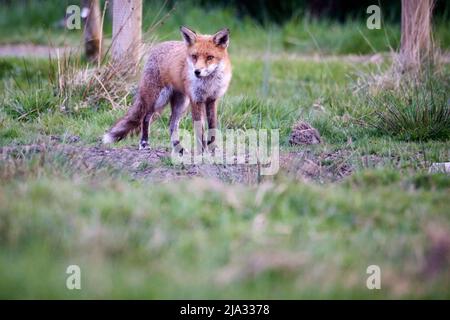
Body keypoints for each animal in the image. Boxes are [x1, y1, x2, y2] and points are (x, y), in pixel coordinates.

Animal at [102, 25, 232, 152]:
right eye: (194, 56)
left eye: (210, 57)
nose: (197, 72)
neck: (208, 83)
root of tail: (158, 46)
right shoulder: (196, 99)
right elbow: (200, 129)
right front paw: (203, 151)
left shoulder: (212, 100)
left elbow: (212, 126)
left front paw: (213, 149)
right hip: (158, 99)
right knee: (145, 118)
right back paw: (144, 143)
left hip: (181, 104)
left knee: (171, 124)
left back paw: (178, 147)